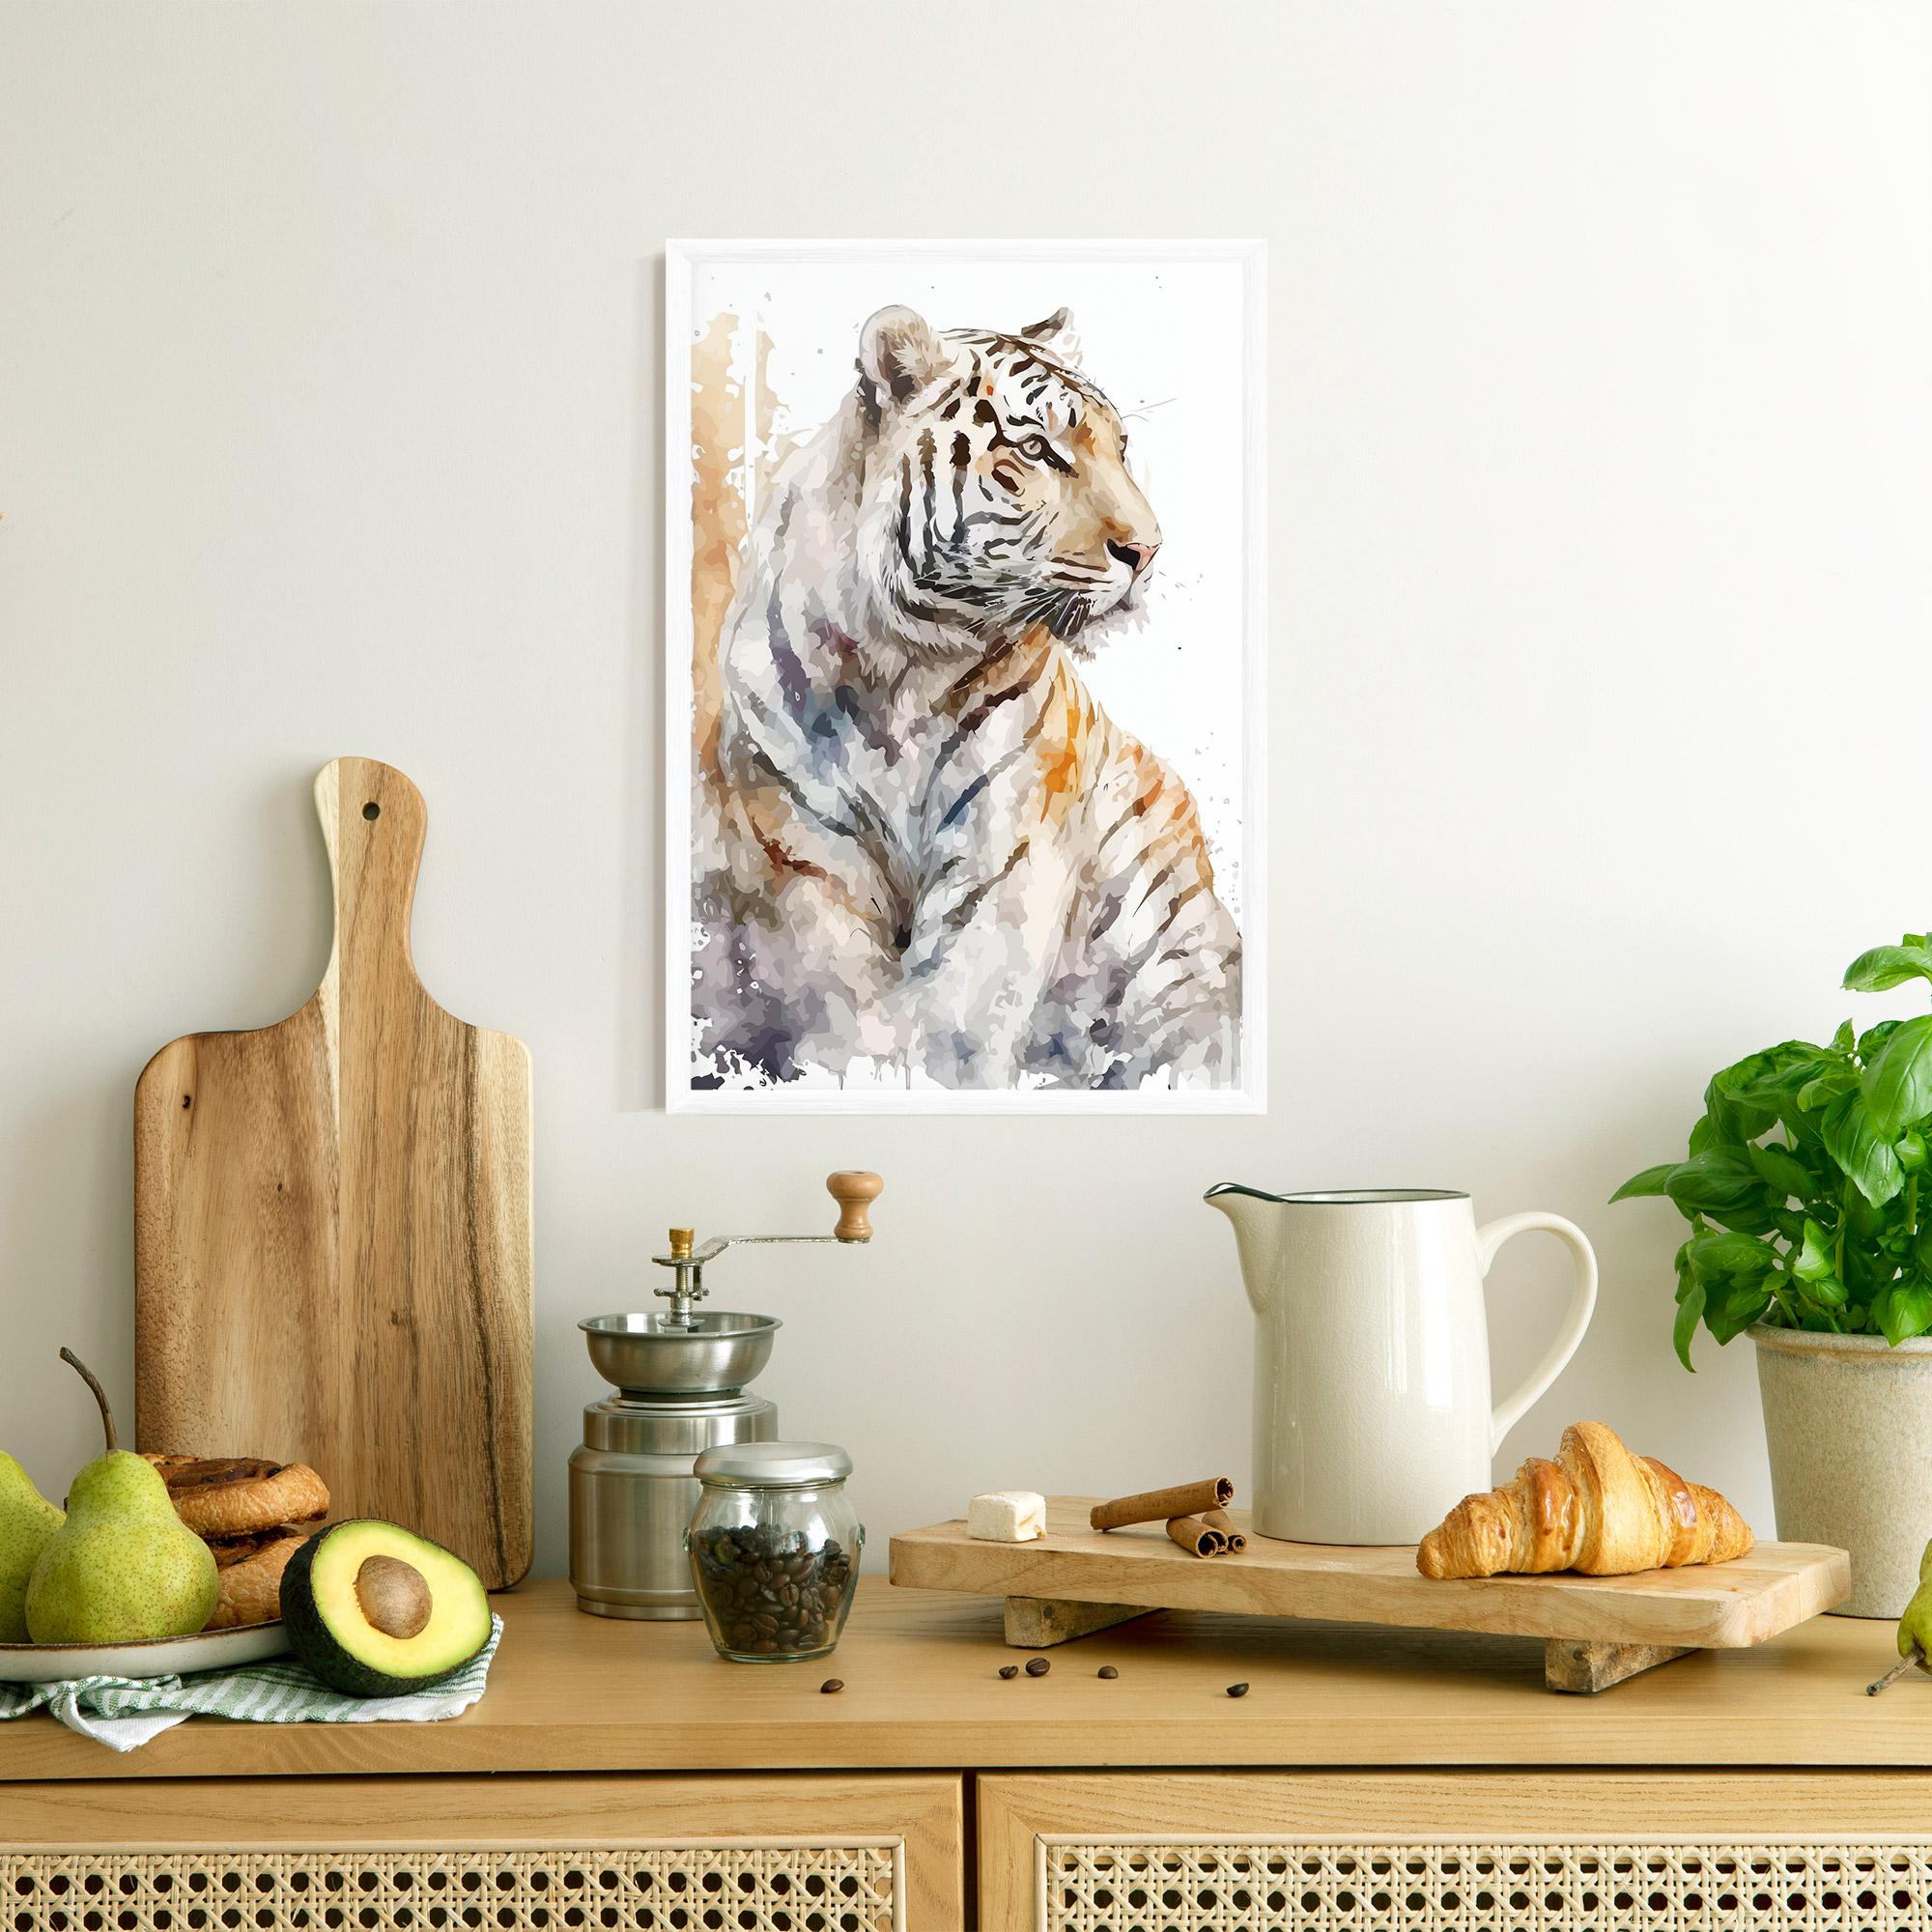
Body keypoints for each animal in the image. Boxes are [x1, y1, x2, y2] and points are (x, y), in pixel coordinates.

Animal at [689, 301, 1242, 1092]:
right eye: (1038, 450)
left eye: (1121, 447)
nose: (1148, 550)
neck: (900, 670)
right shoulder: (803, 854)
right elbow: (838, 1007)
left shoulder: (1004, 853)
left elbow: (959, 1025)